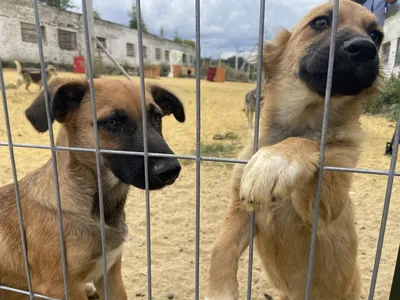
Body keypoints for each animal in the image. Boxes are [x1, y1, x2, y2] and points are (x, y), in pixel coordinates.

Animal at [205, 0, 382, 300]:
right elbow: (221, 246)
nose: (366, 48)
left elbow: (312, 143)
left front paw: (276, 159)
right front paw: (219, 291)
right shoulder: (240, 204)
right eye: (320, 22)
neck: (303, 118)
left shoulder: (324, 209)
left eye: (377, 36)